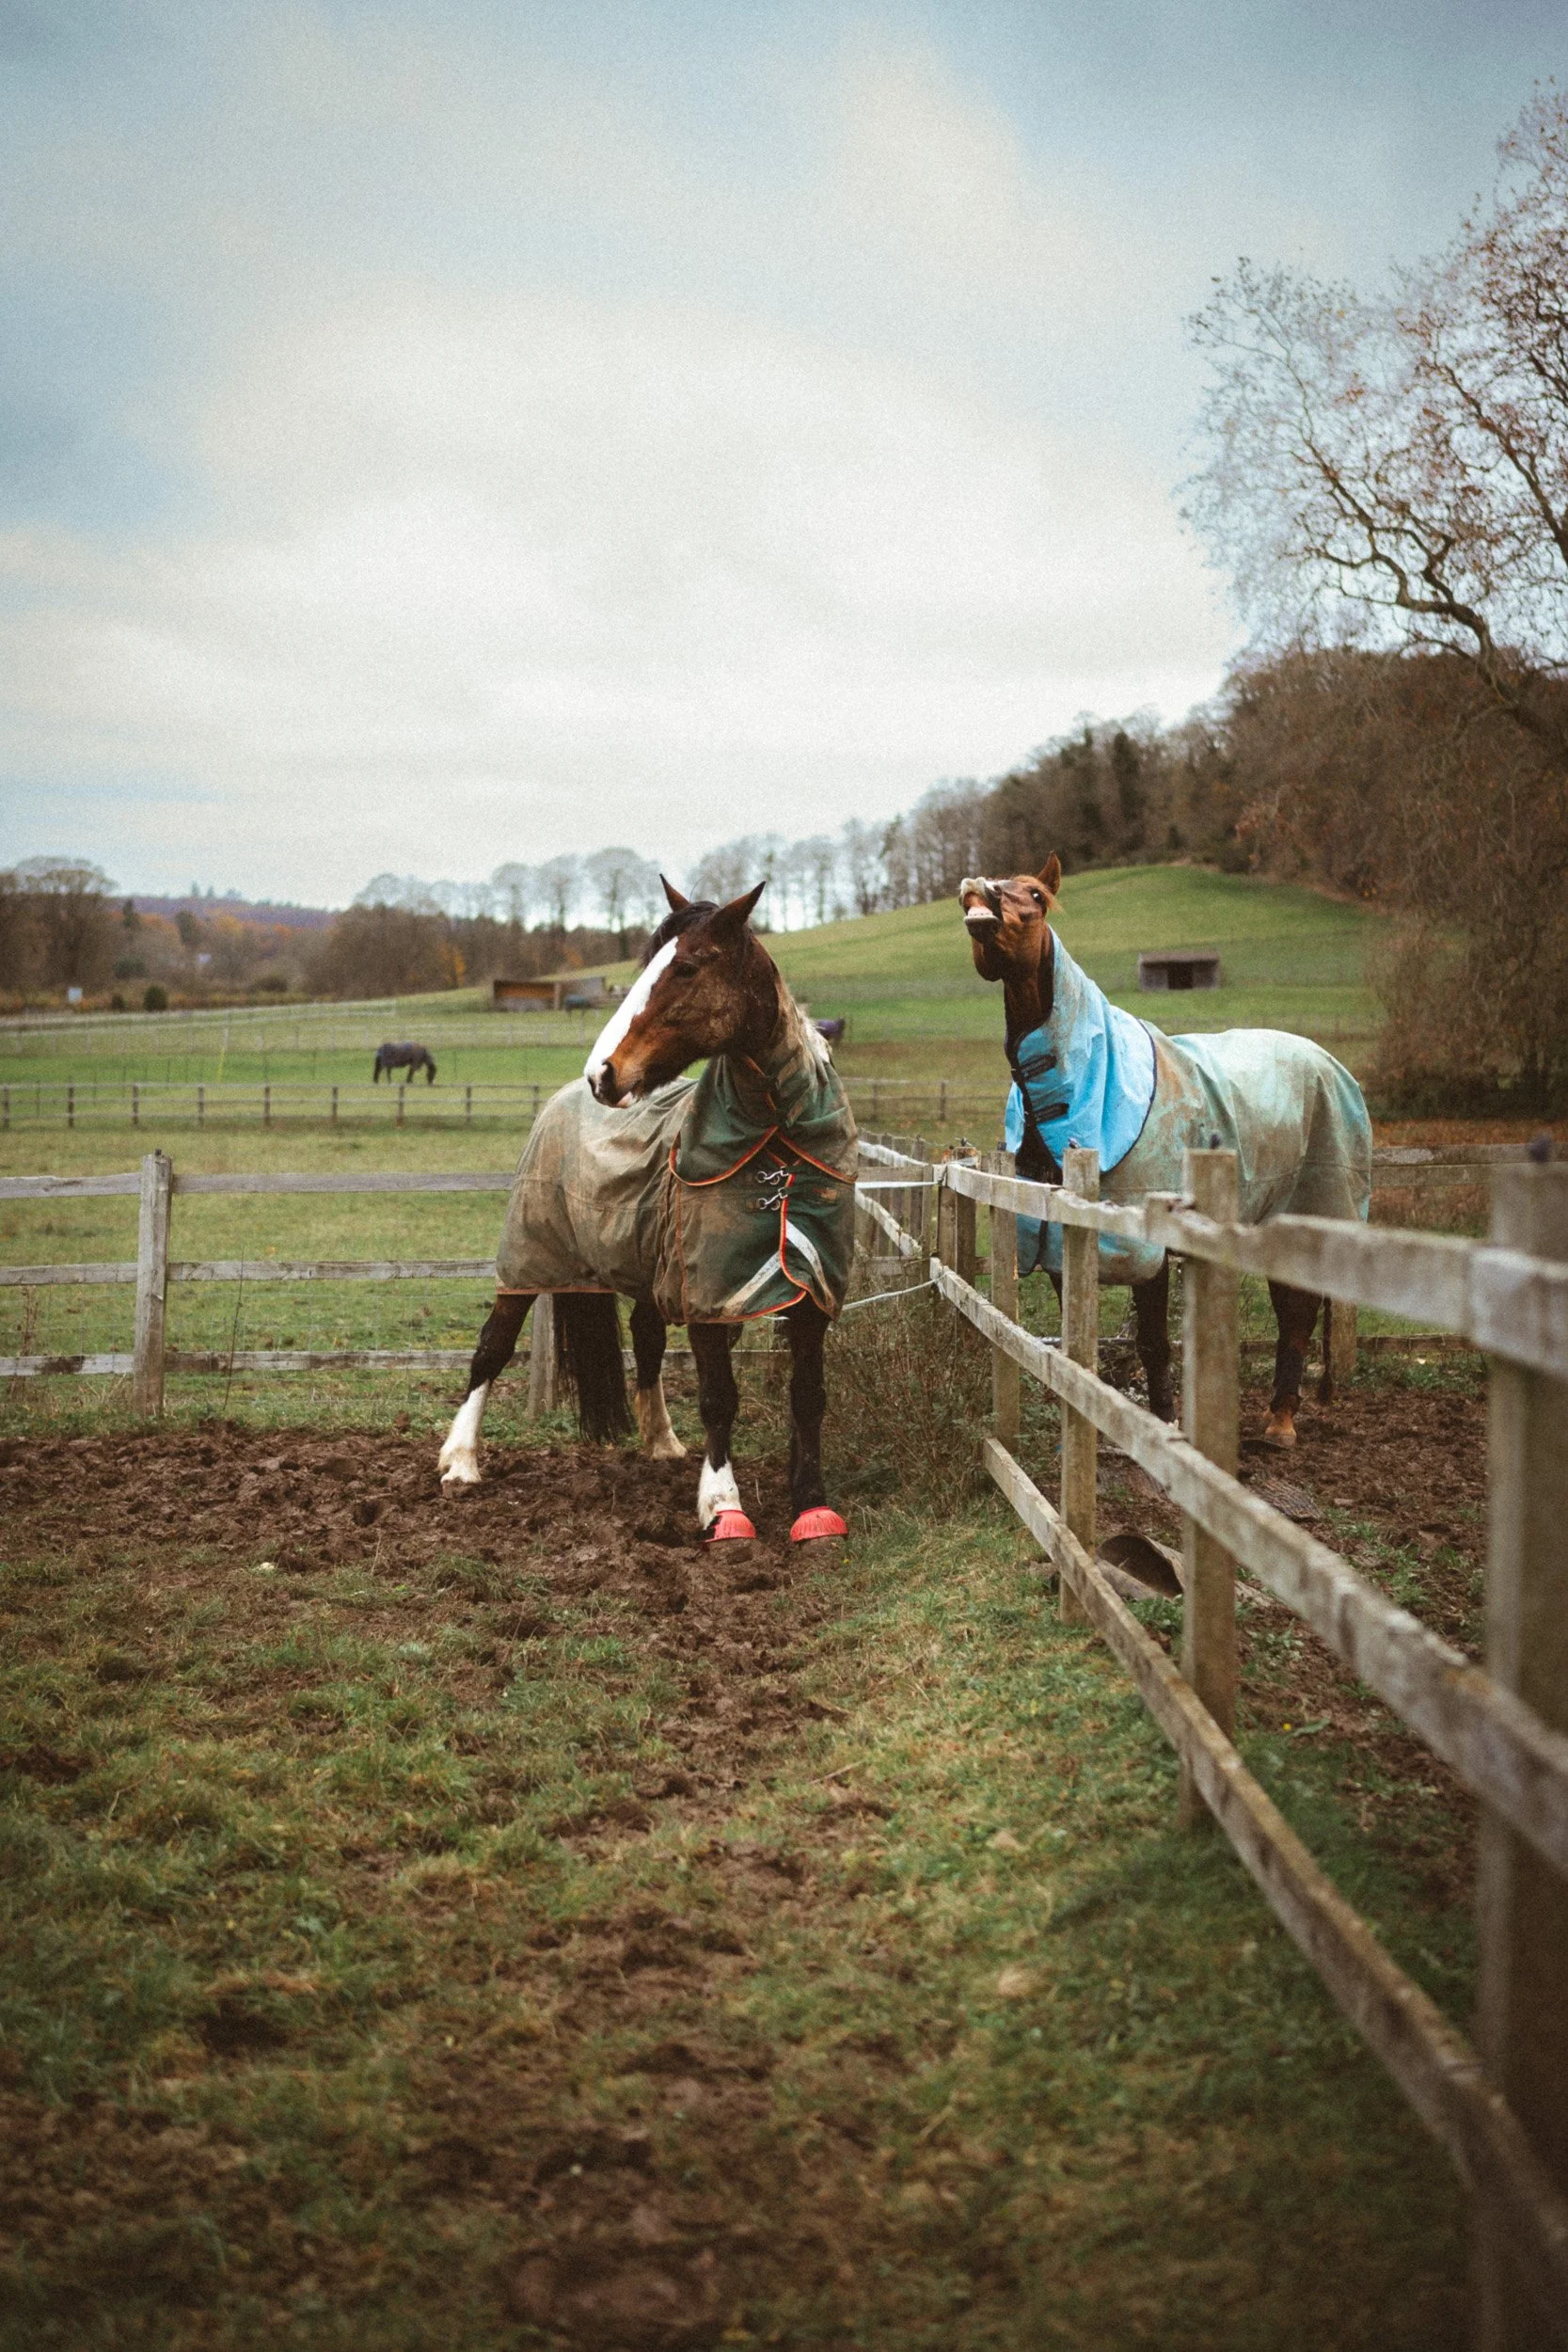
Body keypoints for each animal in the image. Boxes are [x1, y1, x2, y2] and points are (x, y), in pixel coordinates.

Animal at [437, 880, 856, 1540]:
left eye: (686, 967)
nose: (602, 1074)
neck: (776, 1150)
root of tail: (561, 1100)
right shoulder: (709, 1294)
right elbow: (719, 1398)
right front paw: (724, 1508)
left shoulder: (812, 1292)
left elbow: (808, 1397)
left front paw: (812, 1508)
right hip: (528, 1257)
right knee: (491, 1348)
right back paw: (460, 1461)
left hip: (647, 1266)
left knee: (647, 1338)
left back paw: (661, 1442)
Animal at [959, 858, 1372, 1447]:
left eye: (1036, 894)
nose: (978, 890)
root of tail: (1330, 1064)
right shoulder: (1062, 1246)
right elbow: (1077, 1347)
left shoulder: (1146, 1248)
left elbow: (1152, 1343)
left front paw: (1162, 1423)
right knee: (1290, 1309)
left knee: (1297, 1316)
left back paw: (1281, 1423)